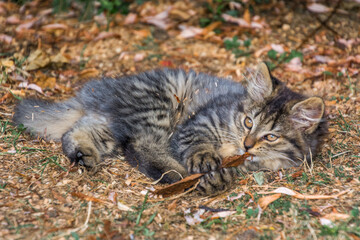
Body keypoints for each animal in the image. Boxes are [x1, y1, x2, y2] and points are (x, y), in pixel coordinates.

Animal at [12, 63, 326, 195]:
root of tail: (106, 90)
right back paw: (176, 173)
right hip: (161, 106)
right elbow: (199, 145)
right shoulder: (198, 123)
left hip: (113, 124)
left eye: (270, 136)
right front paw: (204, 163)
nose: (247, 144)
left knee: (79, 132)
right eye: (248, 122)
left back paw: (82, 153)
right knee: (139, 147)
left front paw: (216, 179)